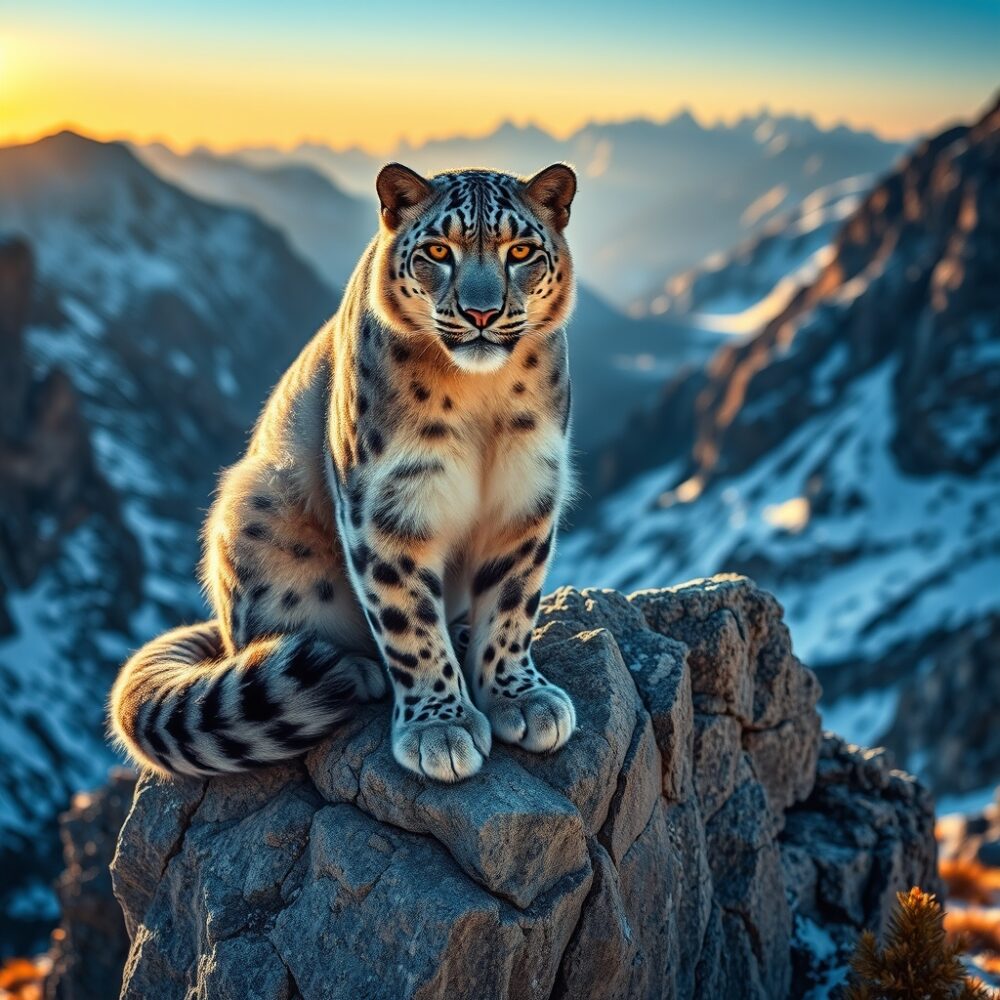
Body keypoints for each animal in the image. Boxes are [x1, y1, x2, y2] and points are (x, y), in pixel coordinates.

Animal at [110, 161, 578, 783]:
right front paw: (441, 728)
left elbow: (511, 602)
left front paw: (519, 697)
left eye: (521, 250)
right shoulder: (386, 505)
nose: (482, 313)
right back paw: (355, 670)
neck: (482, 397)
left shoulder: (527, 493)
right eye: (438, 249)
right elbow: (408, 620)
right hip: (252, 510)